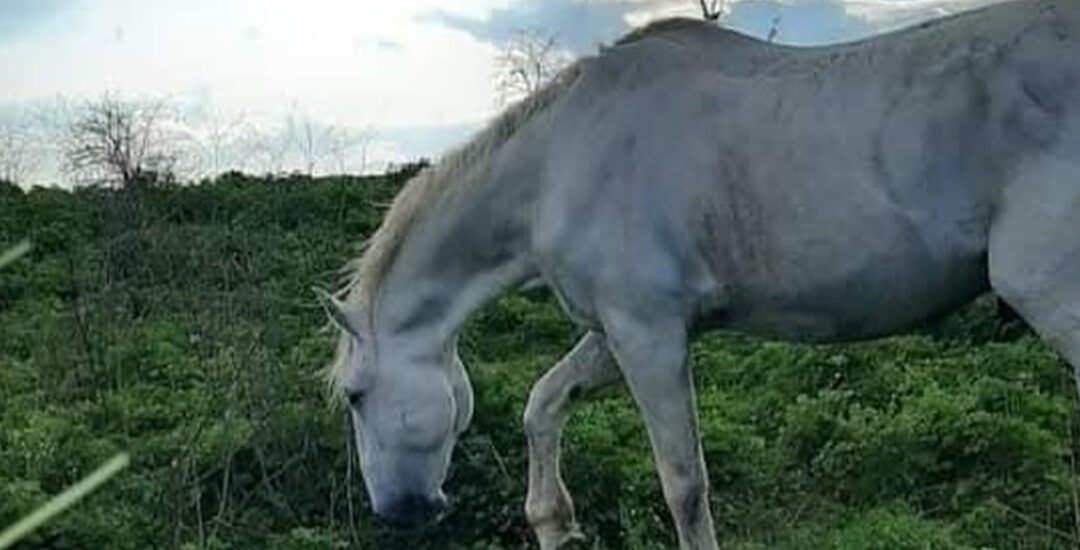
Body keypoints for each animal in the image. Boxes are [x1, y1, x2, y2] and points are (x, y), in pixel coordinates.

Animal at [318, 1, 1080, 548]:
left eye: (355, 396)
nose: (398, 512)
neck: (559, 164)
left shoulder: (650, 336)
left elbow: (683, 485)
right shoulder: (620, 330)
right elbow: (544, 401)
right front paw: (554, 520)